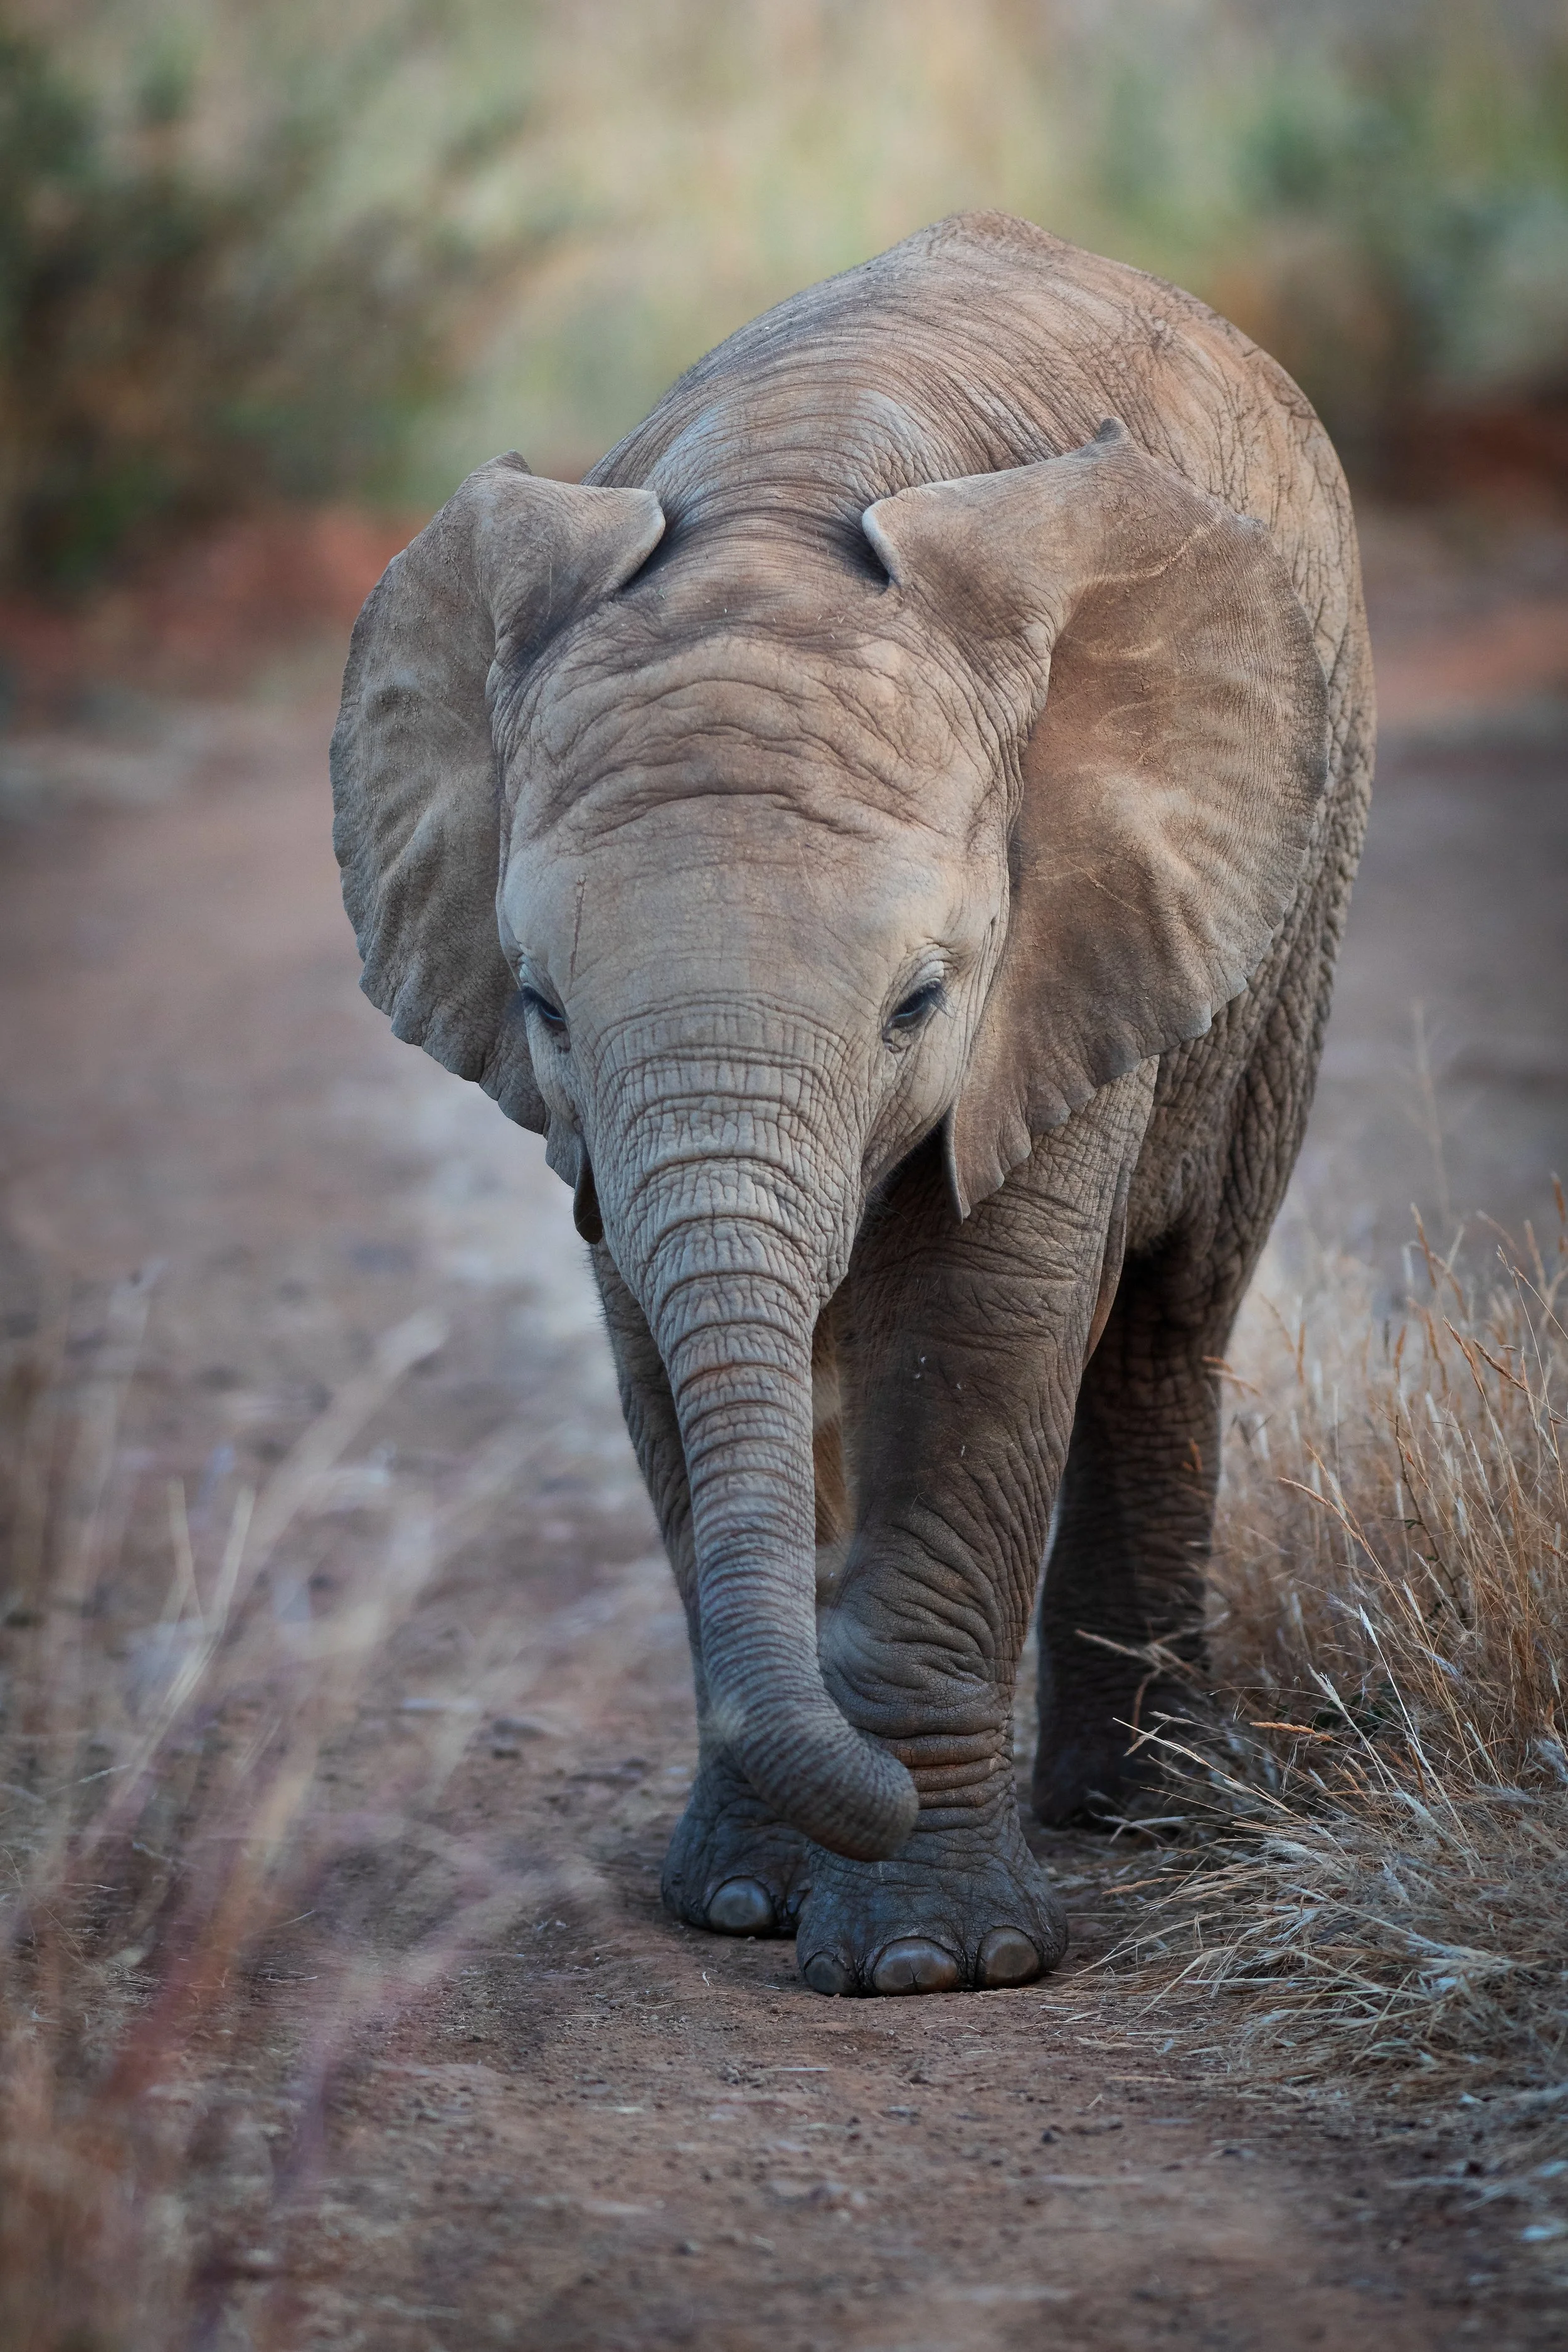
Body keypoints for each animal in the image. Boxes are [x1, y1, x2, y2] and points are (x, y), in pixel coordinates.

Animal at [331, 211, 1372, 1999]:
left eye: (918, 1003)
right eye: (540, 1007)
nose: (866, 1781)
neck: (778, 498)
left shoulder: (1063, 954)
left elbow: (980, 1332)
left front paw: (930, 1961)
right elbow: (656, 1351)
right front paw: (745, 1904)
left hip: (1291, 906)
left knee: (1172, 1311)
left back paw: (1143, 1811)